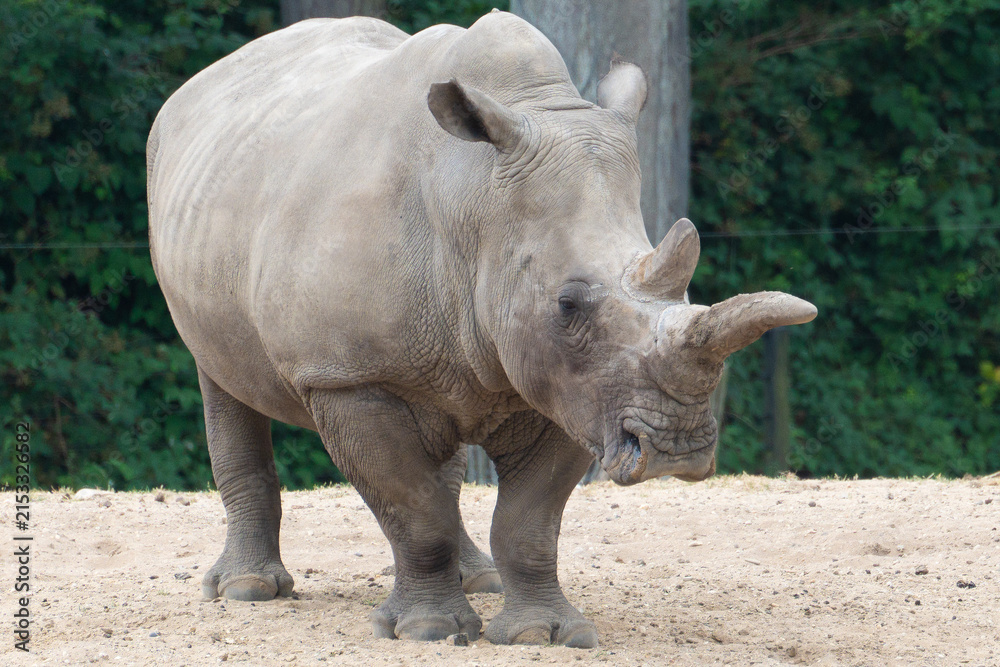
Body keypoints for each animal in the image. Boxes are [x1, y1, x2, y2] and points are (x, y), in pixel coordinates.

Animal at [147, 10, 816, 648]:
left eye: (686, 290)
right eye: (568, 305)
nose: (676, 448)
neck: (474, 203)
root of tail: (196, 87)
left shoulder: (573, 389)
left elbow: (528, 522)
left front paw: (543, 634)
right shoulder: (348, 376)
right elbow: (412, 510)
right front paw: (429, 630)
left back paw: (480, 580)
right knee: (221, 378)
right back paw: (247, 591)